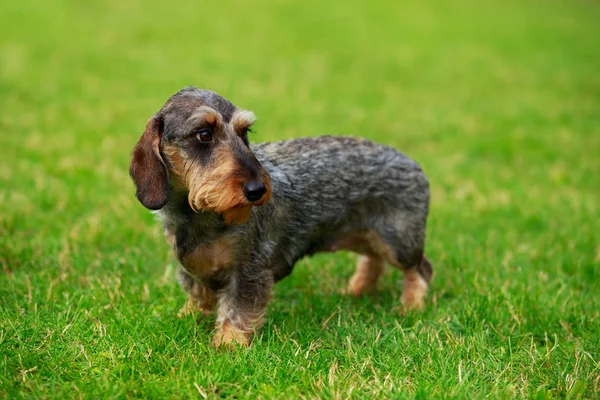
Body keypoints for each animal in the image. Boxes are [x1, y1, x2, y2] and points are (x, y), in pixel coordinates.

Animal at [130, 87, 432, 346]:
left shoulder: (249, 270)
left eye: (244, 132)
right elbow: (198, 297)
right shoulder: (193, 269)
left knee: (420, 270)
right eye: (204, 134)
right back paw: (357, 289)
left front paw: (228, 343)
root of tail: (412, 163)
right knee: (373, 261)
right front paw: (186, 319)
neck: (200, 216)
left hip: (398, 243)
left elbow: (237, 309)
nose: (257, 190)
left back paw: (410, 307)